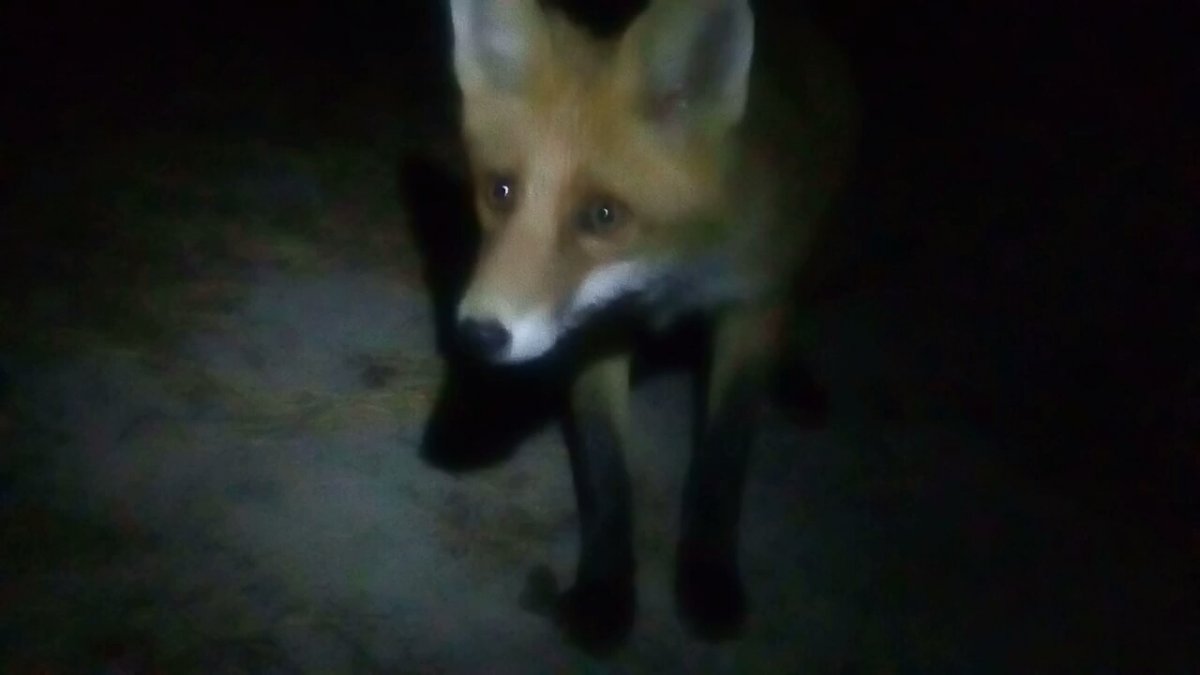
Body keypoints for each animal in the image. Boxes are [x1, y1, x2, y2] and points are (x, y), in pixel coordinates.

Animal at [445, 0, 857, 649]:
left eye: (603, 215)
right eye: (500, 190)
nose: (478, 336)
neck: (667, 278)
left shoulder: (750, 307)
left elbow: (724, 458)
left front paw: (709, 576)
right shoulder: (596, 331)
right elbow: (606, 473)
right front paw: (604, 590)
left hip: (815, 247)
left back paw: (797, 378)